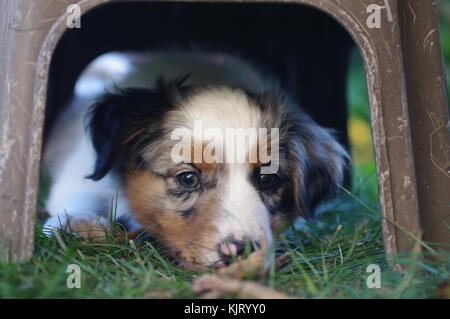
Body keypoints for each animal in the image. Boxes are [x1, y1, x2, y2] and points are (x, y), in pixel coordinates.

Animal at [44, 50, 348, 270]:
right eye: (188, 178)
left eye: (267, 180)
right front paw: (78, 224)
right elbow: (80, 196)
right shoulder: (78, 170)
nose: (240, 251)